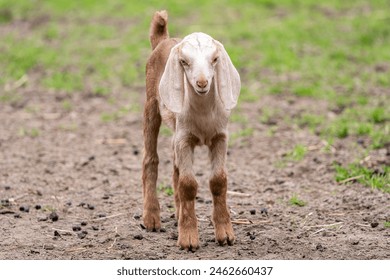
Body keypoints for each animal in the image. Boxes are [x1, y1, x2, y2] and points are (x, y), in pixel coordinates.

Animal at [143, 10, 241, 252]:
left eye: (215, 59)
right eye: (184, 62)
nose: (202, 83)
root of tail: (163, 39)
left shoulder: (219, 137)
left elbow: (218, 180)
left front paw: (225, 235)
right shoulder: (185, 139)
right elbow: (188, 185)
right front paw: (188, 239)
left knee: (175, 168)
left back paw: (178, 214)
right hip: (151, 106)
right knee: (151, 159)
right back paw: (151, 218)